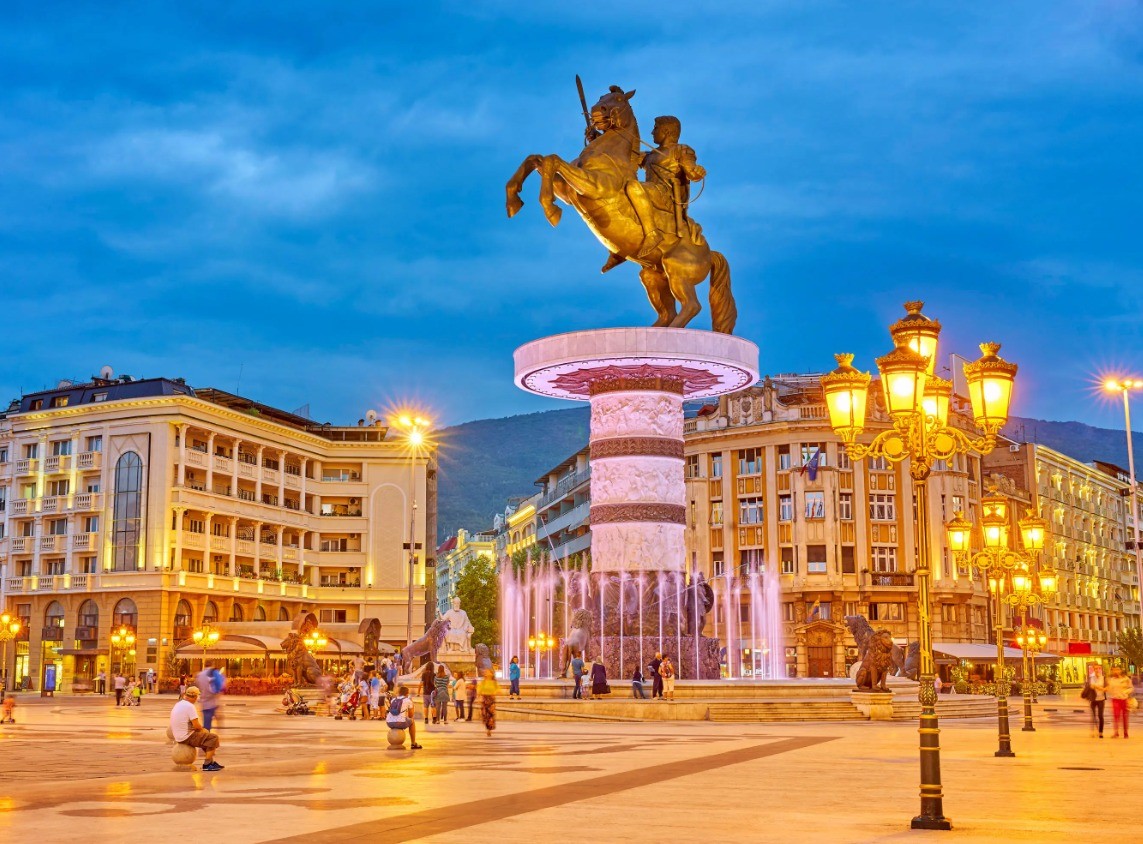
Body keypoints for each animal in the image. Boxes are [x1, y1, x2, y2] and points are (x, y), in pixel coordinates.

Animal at [505, 85, 736, 331]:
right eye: (600, 97)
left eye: (617, 99)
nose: (596, 111)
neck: (609, 155)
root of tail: (709, 252)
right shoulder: (567, 191)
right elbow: (537, 159)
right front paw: (513, 200)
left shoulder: (593, 186)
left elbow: (552, 160)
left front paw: (551, 210)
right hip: (653, 275)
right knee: (668, 312)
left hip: (676, 272)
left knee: (692, 305)